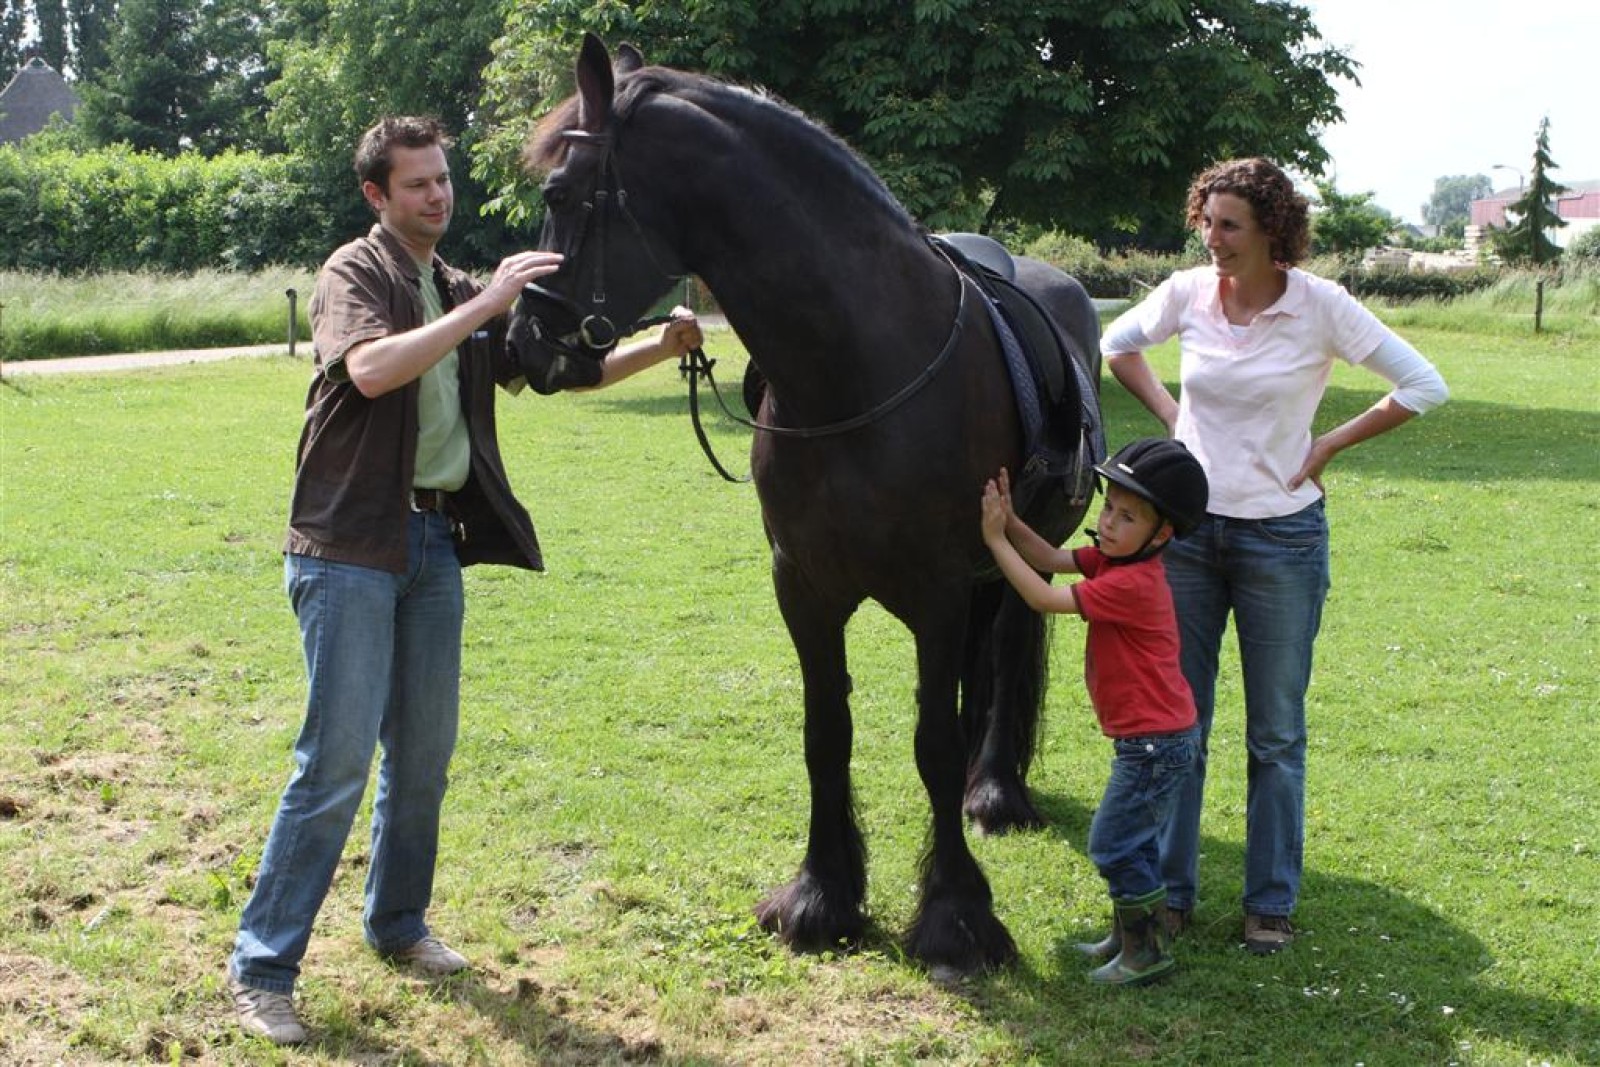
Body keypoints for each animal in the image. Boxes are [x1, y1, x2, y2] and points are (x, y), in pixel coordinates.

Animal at [515, 34, 1103, 978]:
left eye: (560, 194)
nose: (522, 342)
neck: (858, 361)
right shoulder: (804, 587)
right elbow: (825, 732)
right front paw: (824, 895)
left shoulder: (938, 590)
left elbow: (934, 741)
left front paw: (954, 915)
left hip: (1018, 565)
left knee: (1005, 662)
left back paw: (995, 790)